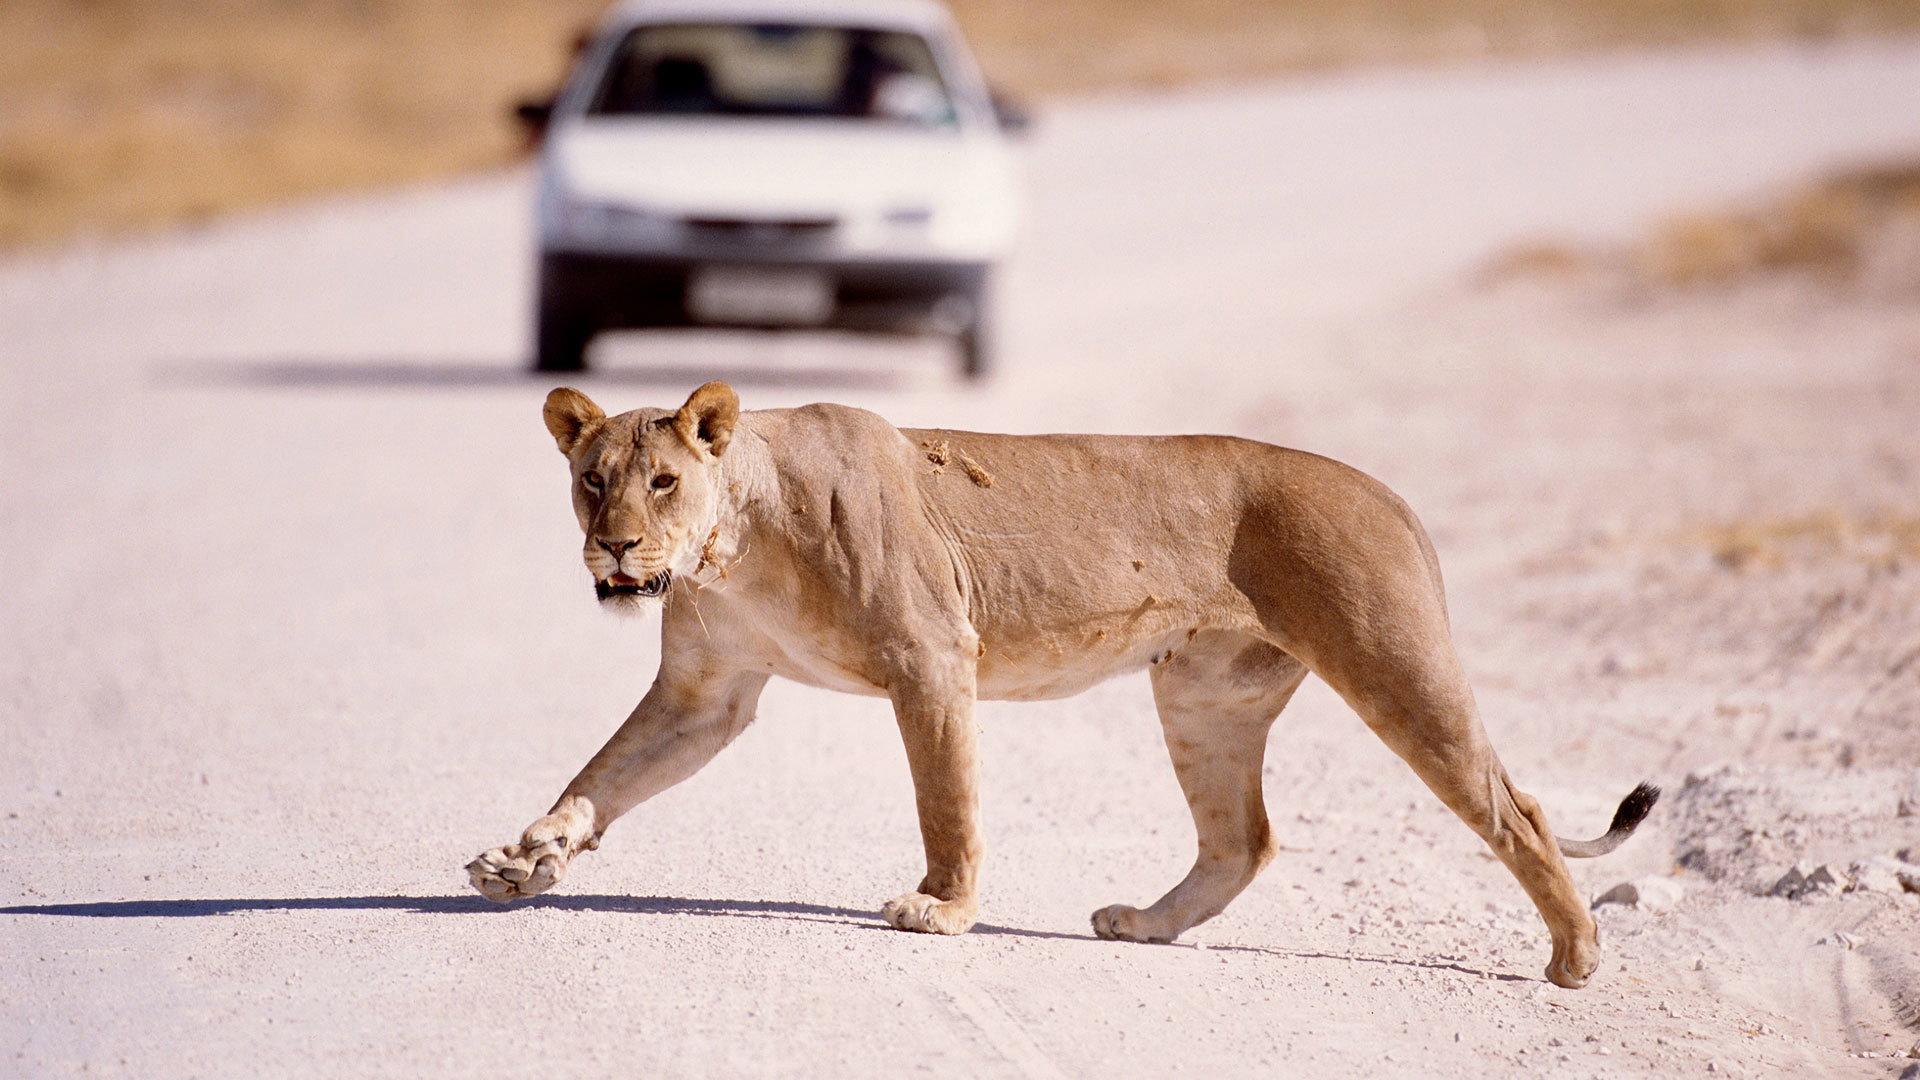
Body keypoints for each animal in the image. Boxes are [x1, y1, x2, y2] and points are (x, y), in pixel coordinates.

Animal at [466, 381, 1657, 989]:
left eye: (665, 481)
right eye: (593, 482)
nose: (617, 549)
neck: (734, 544)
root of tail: (1388, 492)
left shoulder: (932, 655)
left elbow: (946, 802)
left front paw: (941, 912)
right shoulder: (706, 695)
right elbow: (602, 776)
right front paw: (526, 859)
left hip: (1392, 663)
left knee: (1517, 810)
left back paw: (1575, 957)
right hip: (1206, 701)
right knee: (1243, 838)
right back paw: (1142, 924)